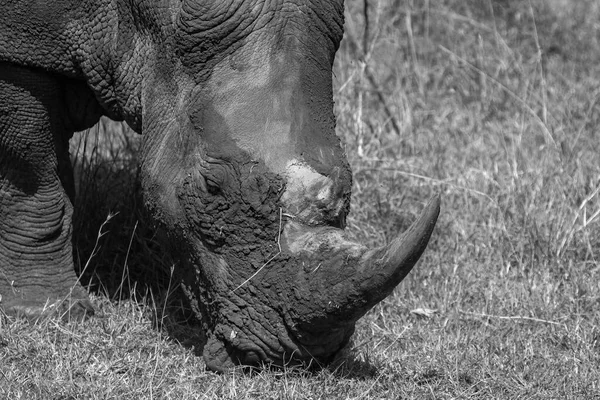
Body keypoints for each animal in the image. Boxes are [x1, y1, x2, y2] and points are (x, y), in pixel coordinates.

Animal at [0, 0, 440, 370]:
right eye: (213, 188)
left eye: (347, 187)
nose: (295, 358)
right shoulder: (19, 49)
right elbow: (32, 182)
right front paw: (51, 312)